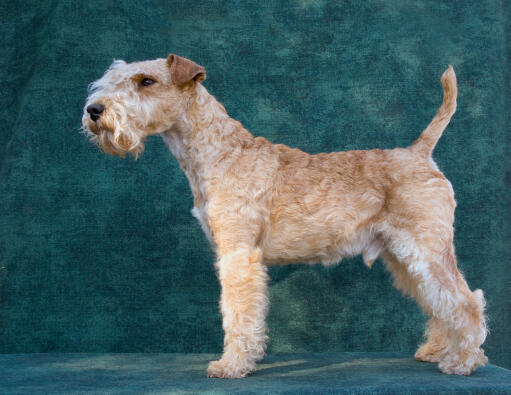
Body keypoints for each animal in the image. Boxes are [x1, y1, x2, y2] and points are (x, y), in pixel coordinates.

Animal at [82, 54, 490, 378]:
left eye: (145, 81)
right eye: (112, 79)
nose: (94, 111)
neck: (217, 153)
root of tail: (419, 153)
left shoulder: (237, 254)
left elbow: (237, 313)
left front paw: (230, 366)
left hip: (424, 248)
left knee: (466, 301)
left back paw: (463, 361)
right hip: (403, 255)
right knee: (439, 303)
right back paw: (437, 350)